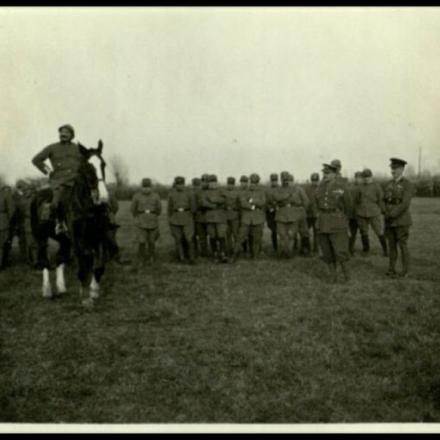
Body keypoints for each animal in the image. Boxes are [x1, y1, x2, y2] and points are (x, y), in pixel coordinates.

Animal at [31, 141, 113, 306]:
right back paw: (47, 290)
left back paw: (61, 287)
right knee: (44, 260)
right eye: (88, 167)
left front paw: (94, 291)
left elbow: (99, 265)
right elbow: (85, 262)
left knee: (59, 258)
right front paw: (85, 297)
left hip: (63, 239)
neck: (87, 207)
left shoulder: (99, 237)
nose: (103, 197)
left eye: (103, 164)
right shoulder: (78, 240)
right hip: (40, 237)